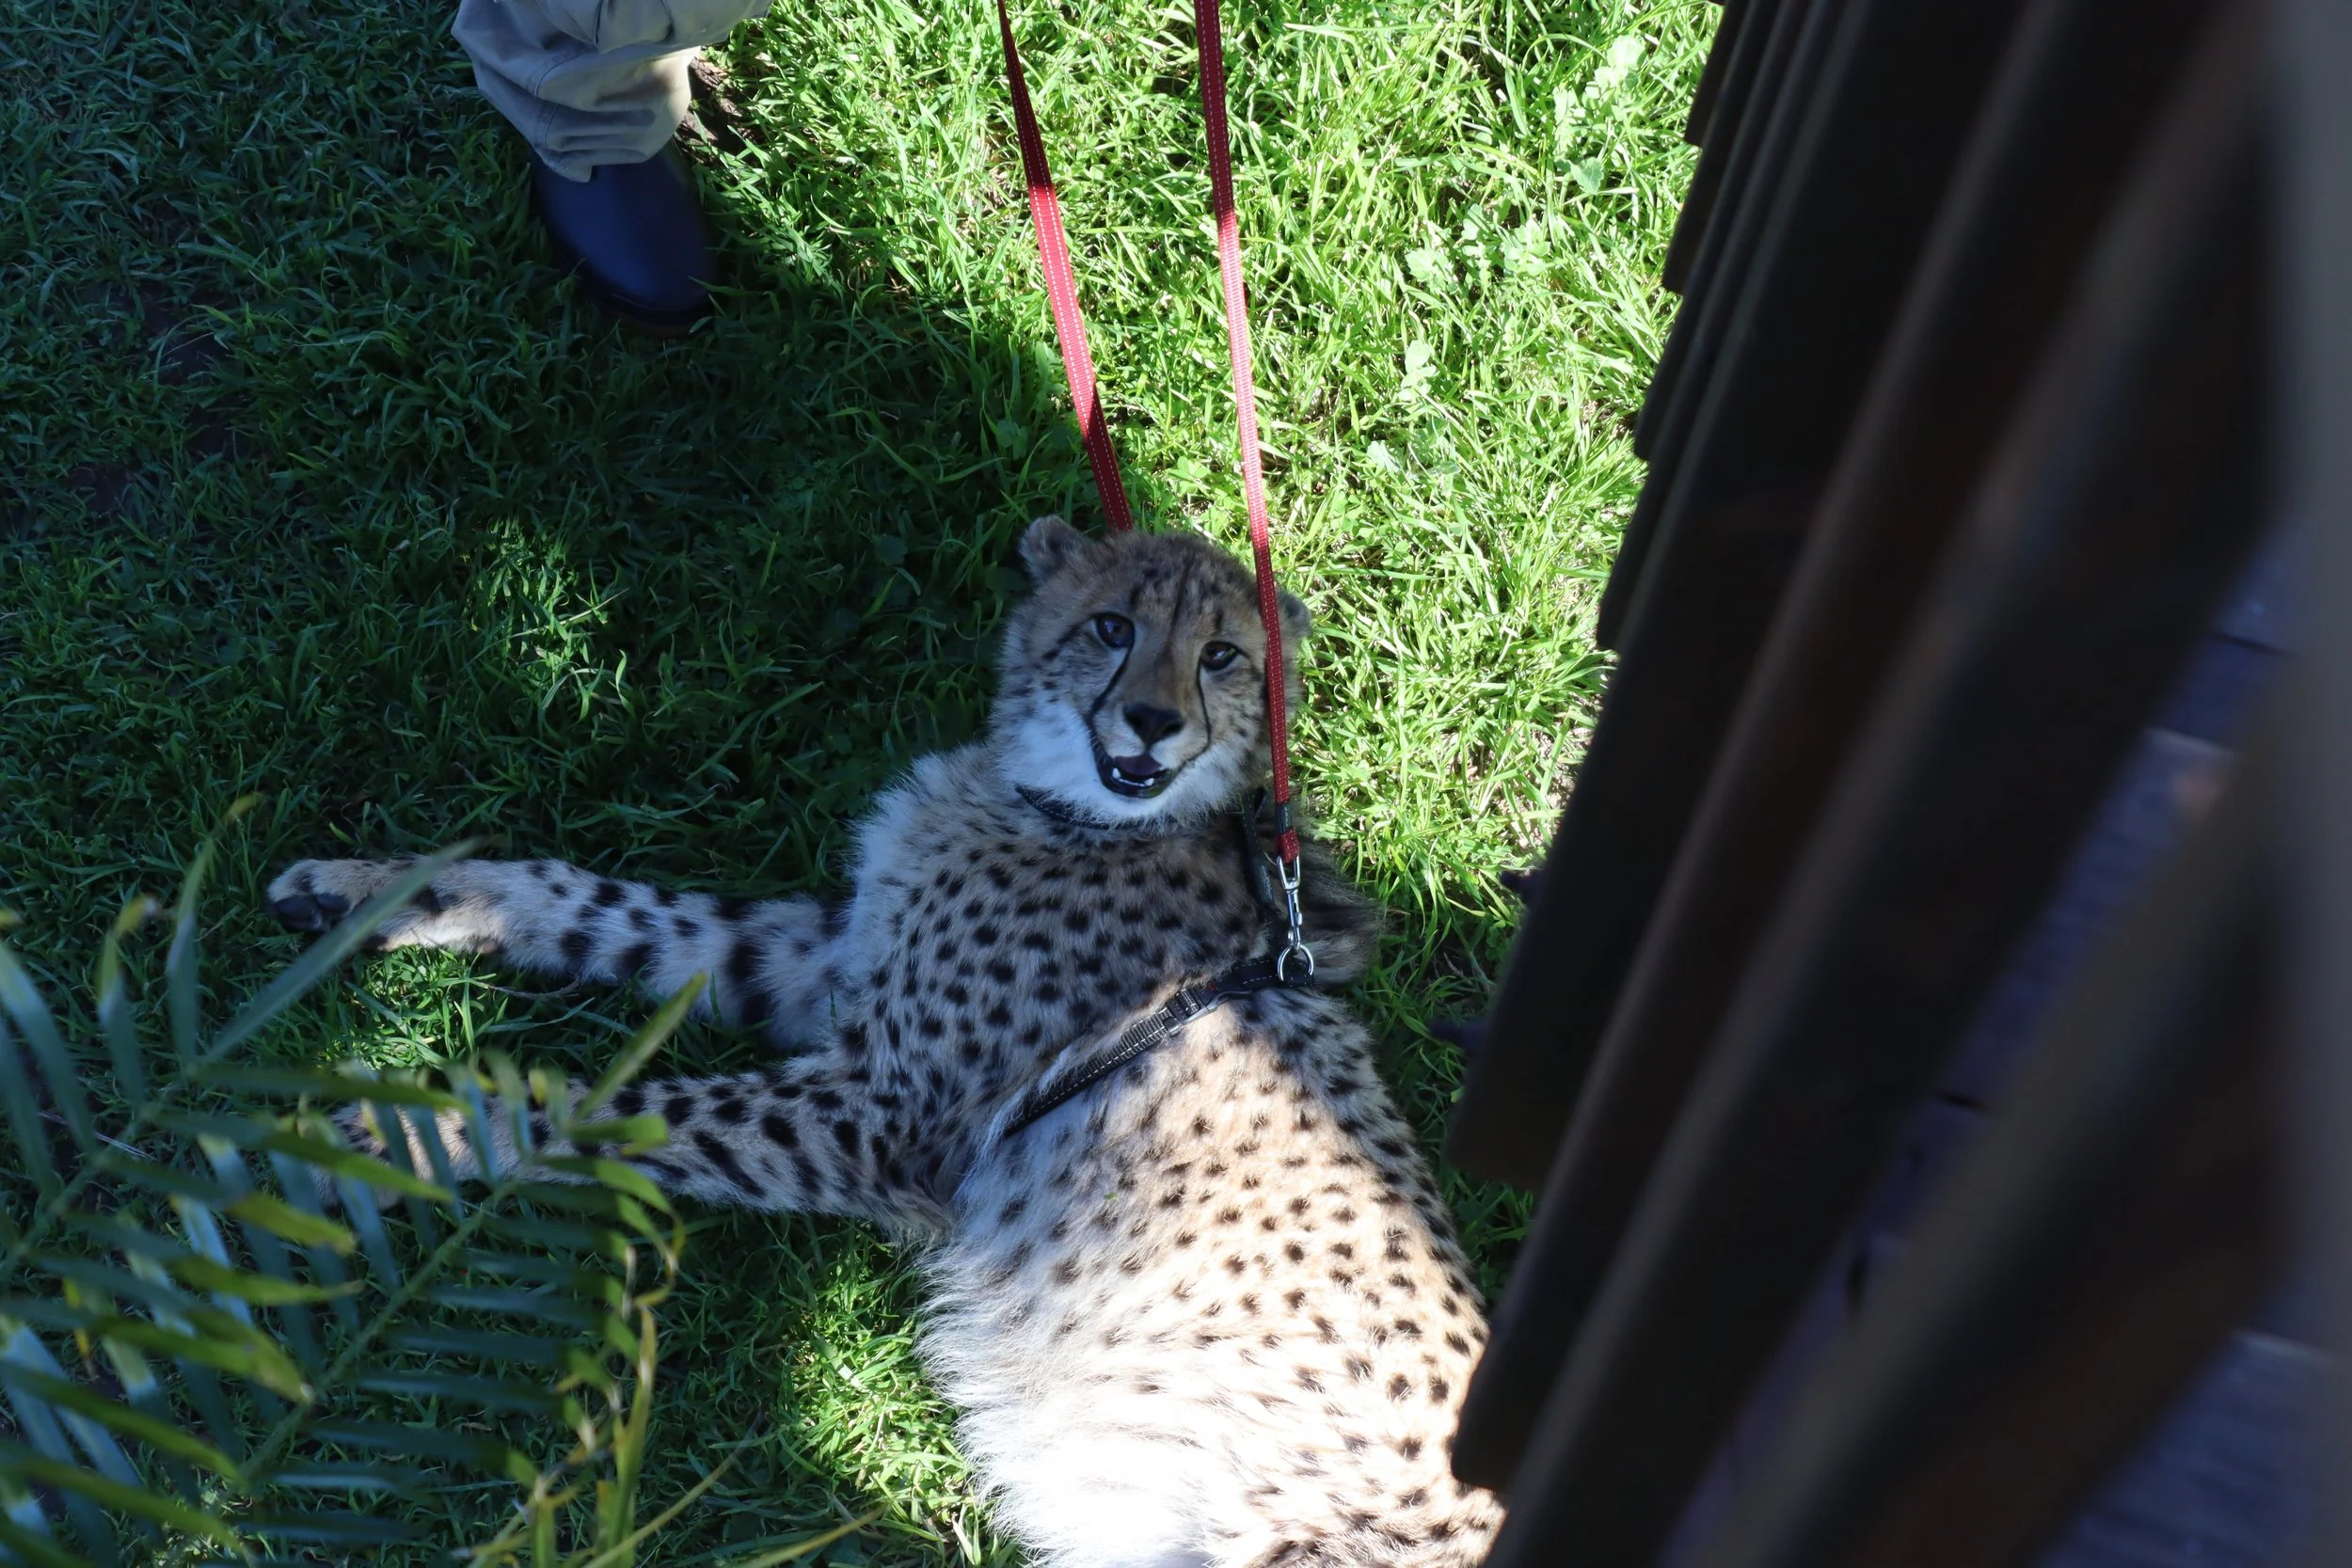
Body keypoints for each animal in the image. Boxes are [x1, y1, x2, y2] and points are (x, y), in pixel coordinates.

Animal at [265, 516, 1504, 1568]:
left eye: (1221, 657)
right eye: (1114, 627)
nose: (1153, 723)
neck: (1067, 811)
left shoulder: (882, 1109)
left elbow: (593, 1101)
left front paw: (363, 1138)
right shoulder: (822, 966)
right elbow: (591, 902)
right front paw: (371, 891)